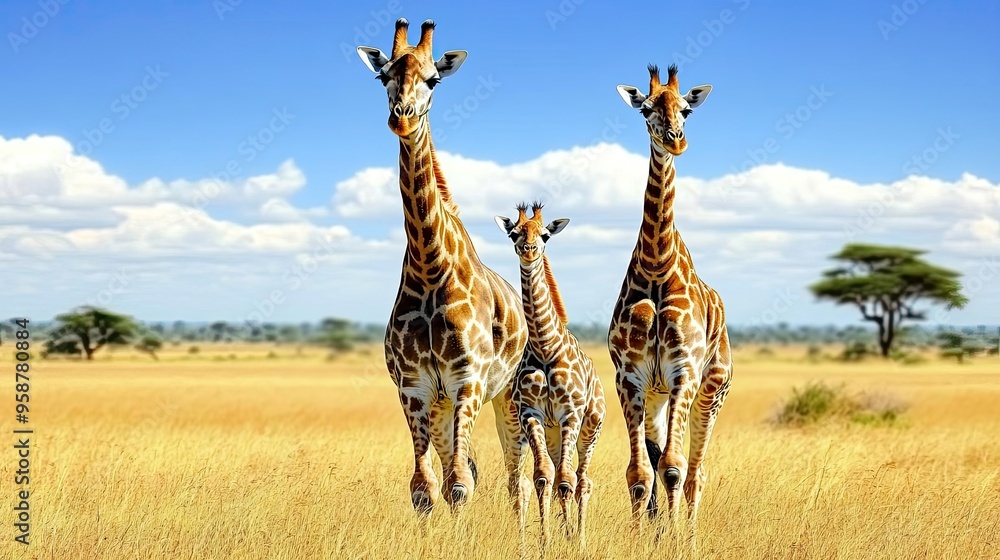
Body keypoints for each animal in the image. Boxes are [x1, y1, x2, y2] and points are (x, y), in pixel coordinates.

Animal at [356, 19, 531, 516]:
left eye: (434, 79)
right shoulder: (414, 388)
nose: (402, 116)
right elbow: (425, 488)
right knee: (468, 467)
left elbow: (458, 485)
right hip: (441, 406)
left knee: (517, 478)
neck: (430, 266)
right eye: (382, 76)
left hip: (506, 395)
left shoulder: (467, 379)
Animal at [495, 203, 606, 548]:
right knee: (559, 475)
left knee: (582, 480)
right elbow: (544, 476)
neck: (546, 346)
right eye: (514, 233)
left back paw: (578, 537)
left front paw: (571, 539)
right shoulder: (531, 413)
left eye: (544, 235)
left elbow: (567, 480)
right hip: (555, 432)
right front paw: (545, 540)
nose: (529, 250)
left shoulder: (570, 413)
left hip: (590, 426)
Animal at [608, 64, 733, 530]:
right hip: (656, 396)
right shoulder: (629, 376)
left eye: (686, 109)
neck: (657, 265)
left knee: (696, 471)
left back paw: (689, 531)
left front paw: (676, 536)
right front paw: (643, 534)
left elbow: (675, 468)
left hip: (712, 391)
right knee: (659, 456)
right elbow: (640, 472)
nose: (675, 139)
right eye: (645, 108)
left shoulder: (685, 371)